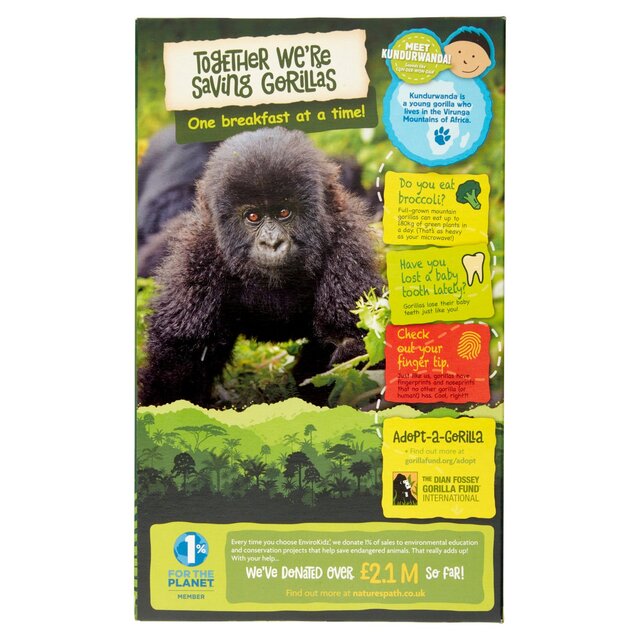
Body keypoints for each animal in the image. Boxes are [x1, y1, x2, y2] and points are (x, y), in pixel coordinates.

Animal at [138, 127, 383, 407]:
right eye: (252, 216)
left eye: (284, 212)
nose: (271, 243)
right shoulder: (198, 256)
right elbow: (180, 357)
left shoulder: (346, 247)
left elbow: (350, 344)